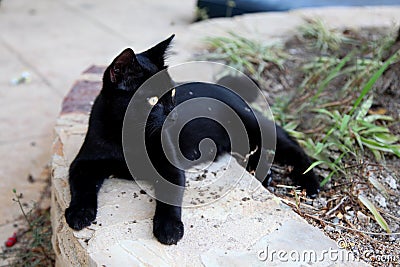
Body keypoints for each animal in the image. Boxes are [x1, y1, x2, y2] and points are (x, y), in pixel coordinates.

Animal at [66, 35, 318, 247]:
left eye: (172, 94)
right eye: (152, 100)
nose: (173, 114)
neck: (126, 138)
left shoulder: (171, 166)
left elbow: (169, 196)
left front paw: (169, 228)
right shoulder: (84, 162)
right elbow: (81, 187)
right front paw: (79, 213)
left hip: (253, 123)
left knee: (291, 146)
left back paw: (310, 183)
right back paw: (263, 174)